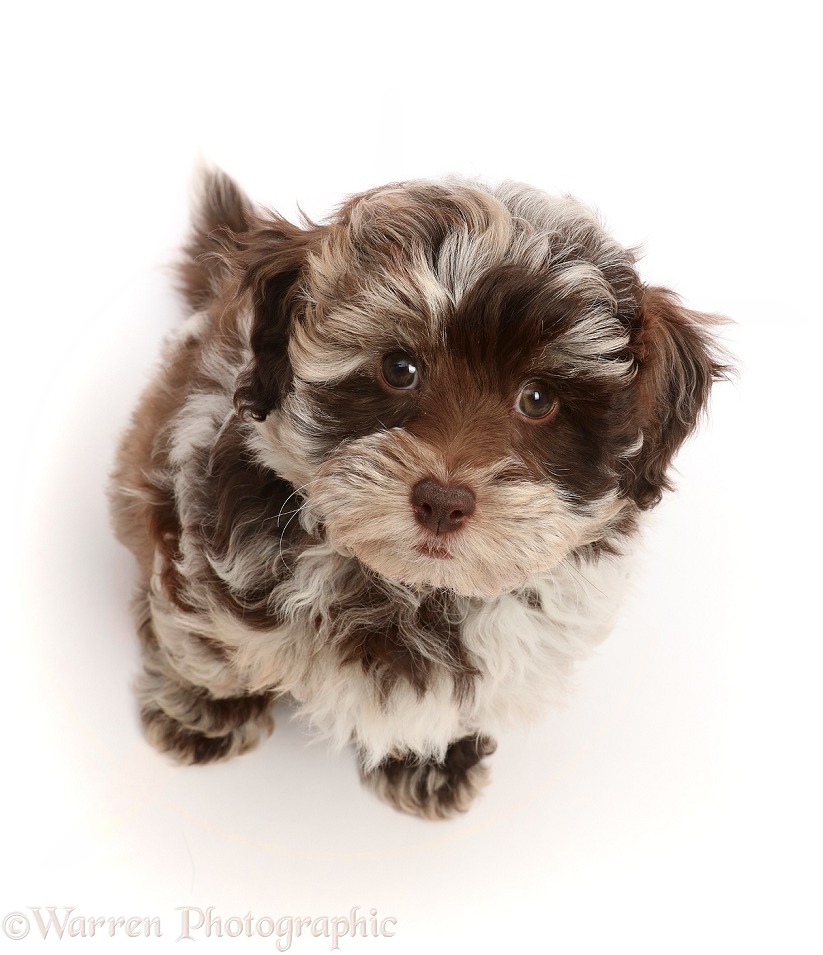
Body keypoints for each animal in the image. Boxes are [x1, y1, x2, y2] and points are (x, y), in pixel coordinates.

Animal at [109, 168, 728, 816]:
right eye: (399, 369)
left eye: (538, 399)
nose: (443, 501)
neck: (410, 590)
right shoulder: (202, 528)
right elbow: (206, 639)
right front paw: (204, 709)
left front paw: (431, 758)